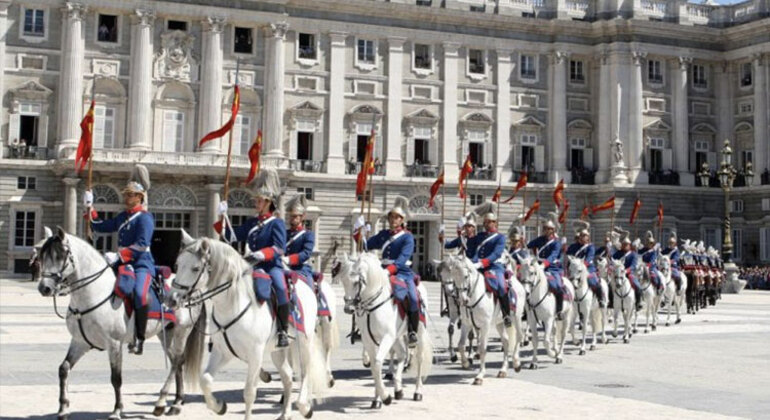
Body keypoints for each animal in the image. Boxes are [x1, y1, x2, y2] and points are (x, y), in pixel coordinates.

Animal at [35, 228, 204, 418]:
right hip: (165, 333)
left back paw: (169, 404)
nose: (44, 288)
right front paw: (63, 408)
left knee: (177, 361)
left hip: (183, 331)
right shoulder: (79, 342)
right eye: (41, 256)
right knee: (177, 362)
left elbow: (116, 378)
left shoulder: (114, 344)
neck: (93, 293)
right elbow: (63, 369)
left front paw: (117, 409)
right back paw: (175, 402)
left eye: (60, 256)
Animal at [168, 235, 328, 418]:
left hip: (304, 341)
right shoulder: (222, 351)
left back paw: (304, 406)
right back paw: (285, 413)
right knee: (287, 376)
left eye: (195, 268)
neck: (232, 305)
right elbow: (205, 380)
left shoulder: (255, 355)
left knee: (305, 371)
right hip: (277, 350)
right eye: (177, 265)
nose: (171, 299)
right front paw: (219, 406)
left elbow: (250, 392)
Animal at [336, 253, 432, 406]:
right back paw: (398, 389)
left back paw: (417, 392)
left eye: (357, 282)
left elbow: (377, 363)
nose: (348, 309)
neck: (372, 305)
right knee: (402, 354)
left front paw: (385, 397)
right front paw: (377, 399)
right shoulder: (369, 339)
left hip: (419, 334)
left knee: (419, 359)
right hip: (397, 337)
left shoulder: (386, 337)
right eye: (343, 281)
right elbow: (375, 368)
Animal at [444, 253, 520, 384]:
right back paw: (503, 370)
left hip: (517, 318)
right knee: (506, 341)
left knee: (519, 337)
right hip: (499, 322)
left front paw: (479, 376)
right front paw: (465, 363)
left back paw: (516, 363)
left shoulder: (485, 326)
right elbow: (461, 345)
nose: (463, 300)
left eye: (466, 276)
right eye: (454, 277)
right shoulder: (466, 324)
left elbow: (483, 348)